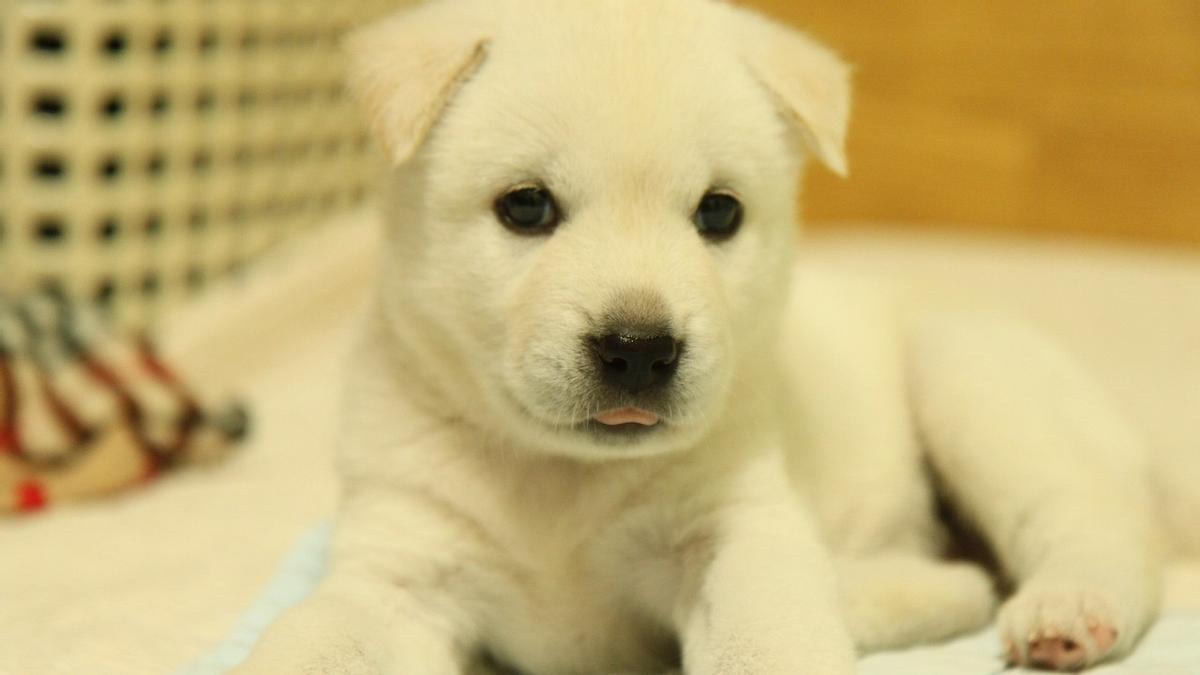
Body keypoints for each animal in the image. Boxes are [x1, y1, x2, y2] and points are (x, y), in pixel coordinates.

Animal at [231, 2, 1161, 667]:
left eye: (719, 213)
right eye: (525, 206)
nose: (640, 348)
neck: (563, 481)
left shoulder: (737, 528)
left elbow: (768, 635)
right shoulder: (400, 560)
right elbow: (315, 638)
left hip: (974, 377)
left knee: (1096, 528)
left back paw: (1067, 608)